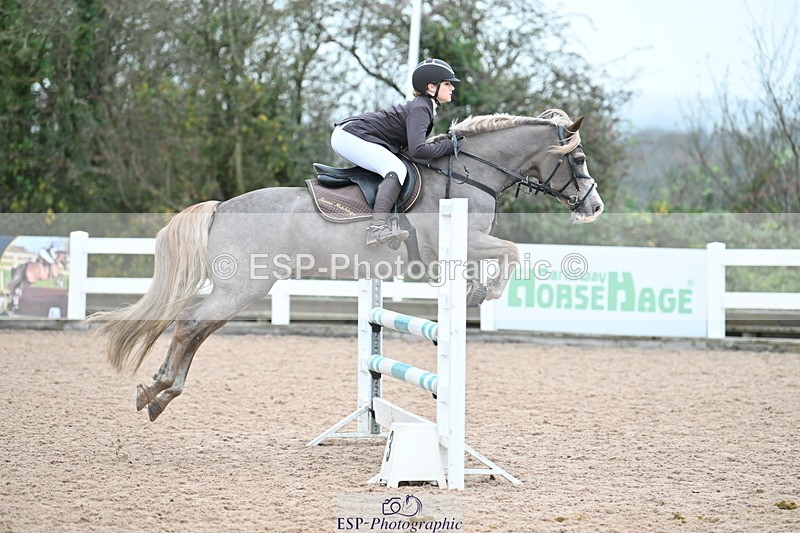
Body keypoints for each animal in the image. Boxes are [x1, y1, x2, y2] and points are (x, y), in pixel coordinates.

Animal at [89, 109, 605, 422]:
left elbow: (499, 258)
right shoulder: (463, 242)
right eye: (578, 157)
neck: (470, 172)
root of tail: (220, 208)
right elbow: (512, 251)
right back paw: (157, 389)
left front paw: (475, 293)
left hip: (241, 291)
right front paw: (485, 295)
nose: (594, 206)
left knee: (198, 327)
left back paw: (160, 394)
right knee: (190, 323)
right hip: (243, 288)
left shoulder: (464, 249)